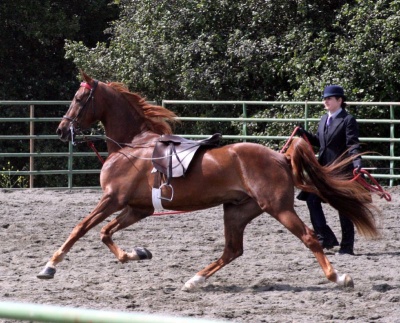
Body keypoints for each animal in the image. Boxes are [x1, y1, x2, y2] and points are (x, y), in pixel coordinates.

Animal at [36, 73, 378, 292]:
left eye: (79, 98)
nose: (61, 130)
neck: (133, 146)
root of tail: (280, 157)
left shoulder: (112, 199)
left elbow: (80, 229)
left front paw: (49, 266)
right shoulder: (137, 208)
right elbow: (105, 234)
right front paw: (137, 254)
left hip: (278, 208)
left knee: (308, 237)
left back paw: (339, 278)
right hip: (237, 211)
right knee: (232, 250)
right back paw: (194, 281)